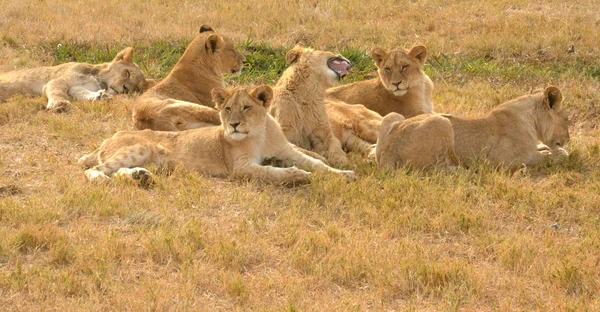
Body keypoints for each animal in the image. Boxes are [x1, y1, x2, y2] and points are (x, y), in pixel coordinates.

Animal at [0, 47, 150, 112]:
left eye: (135, 88)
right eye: (128, 73)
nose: (125, 89)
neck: (97, 78)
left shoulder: (76, 88)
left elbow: (82, 92)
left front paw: (101, 97)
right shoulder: (58, 81)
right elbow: (57, 91)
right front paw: (60, 104)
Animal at [77, 84, 354, 184]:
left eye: (246, 107)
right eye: (227, 108)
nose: (233, 125)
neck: (260, 133)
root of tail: (109, 138)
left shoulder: (286, 150)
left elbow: (317, 163)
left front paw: (345, 174)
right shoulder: (240, 168)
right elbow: (272, 172)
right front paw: (297, 176)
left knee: (116, 170)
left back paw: (140, 177)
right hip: (140, 148)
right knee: (96, 169)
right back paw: (102, 179)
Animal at [378, 86, 568, 169]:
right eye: (567, 119)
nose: (568, 139)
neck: (532, 120)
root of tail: (388, 152)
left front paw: (546, 148)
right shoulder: (501, 160)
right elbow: (540, 157)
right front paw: (555, 153)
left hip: (393, 116)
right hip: (441, 122)